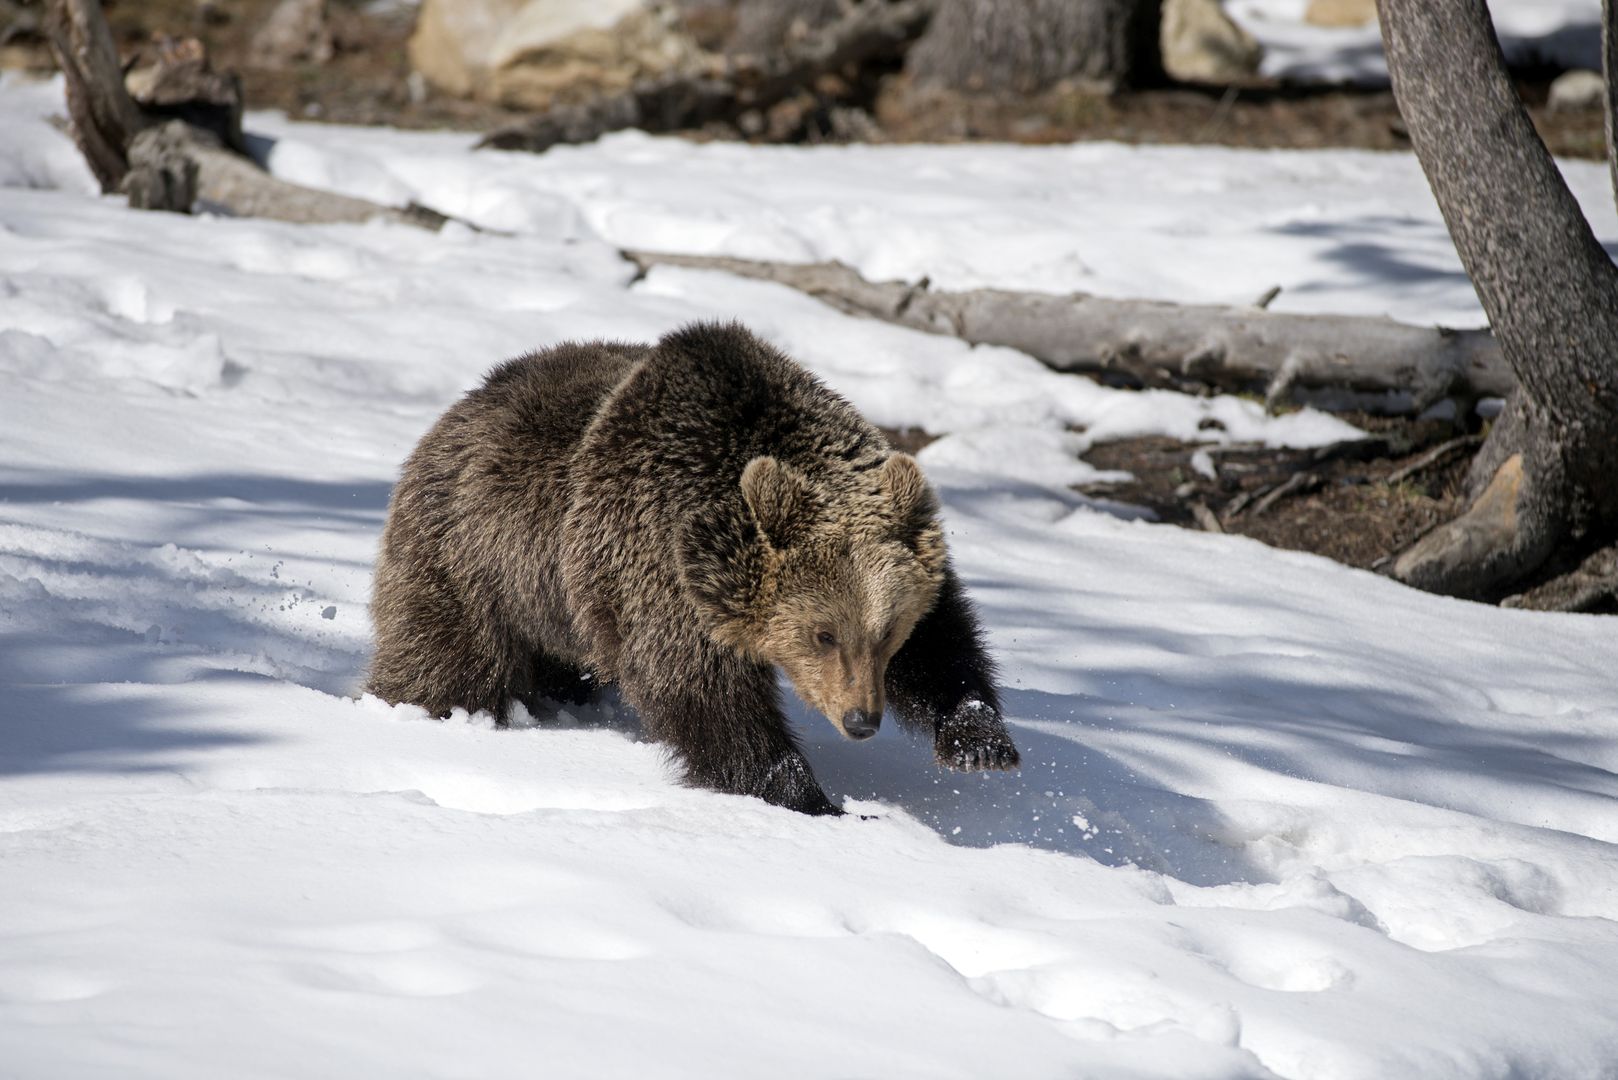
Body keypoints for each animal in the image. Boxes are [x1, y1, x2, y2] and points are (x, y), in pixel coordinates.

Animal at [372, 325, 1016, 816]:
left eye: (886, 633)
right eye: (822, 634)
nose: (861, 720)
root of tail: (462, 405)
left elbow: (942, 642)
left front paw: (977, 739)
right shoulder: (657, 564)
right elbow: (704, 694)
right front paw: (812, 798)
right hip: (472, 556)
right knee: (447, 655)